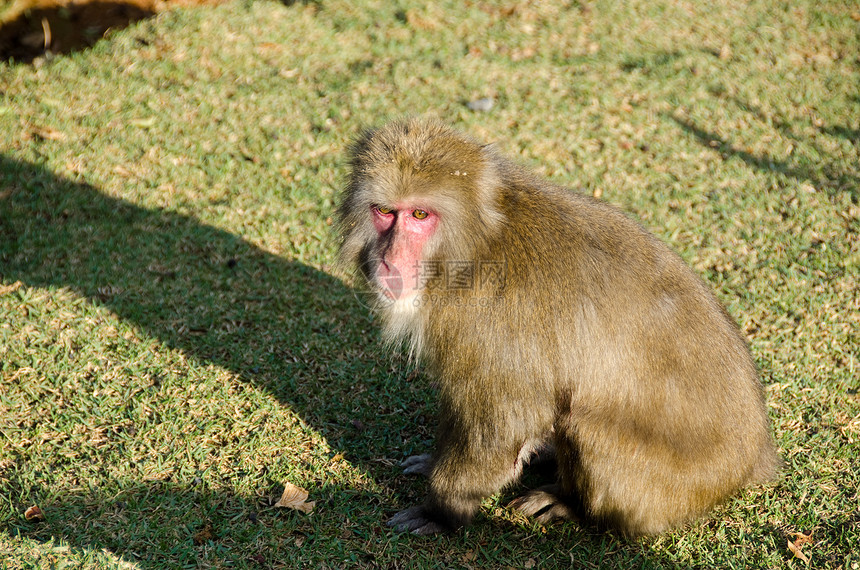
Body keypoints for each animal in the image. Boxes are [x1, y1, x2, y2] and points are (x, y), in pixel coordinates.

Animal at [336, 117, 780, 536]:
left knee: (581, 423)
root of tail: (753, 461)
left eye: (420, 214)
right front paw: (434, 461)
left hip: (669, 490)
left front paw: (441, 511)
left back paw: (572, 504)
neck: (475, 248)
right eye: (384, 212)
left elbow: (502, 421)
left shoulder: (492, 321)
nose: (389, 259)